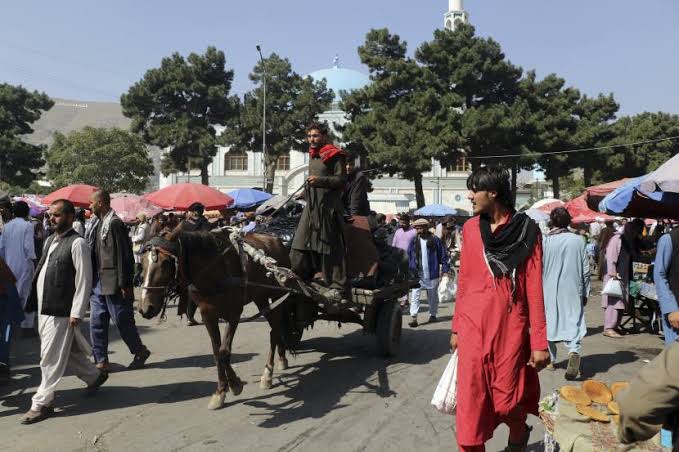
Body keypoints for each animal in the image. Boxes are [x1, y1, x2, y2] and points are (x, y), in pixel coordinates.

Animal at [137, 226, 298, 410]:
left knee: (276, 329)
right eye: (142, 262)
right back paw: (280, 359)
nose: (145, 308)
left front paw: (235, 384)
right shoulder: (208, 315)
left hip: (276, 293)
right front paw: (220, 391)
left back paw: (268, 373)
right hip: (260, 296)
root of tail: (276, 239)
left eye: (165, 263)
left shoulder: (234, 312)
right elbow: (216, 352)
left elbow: (224, 351)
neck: (213, 271)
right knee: (275, 329)